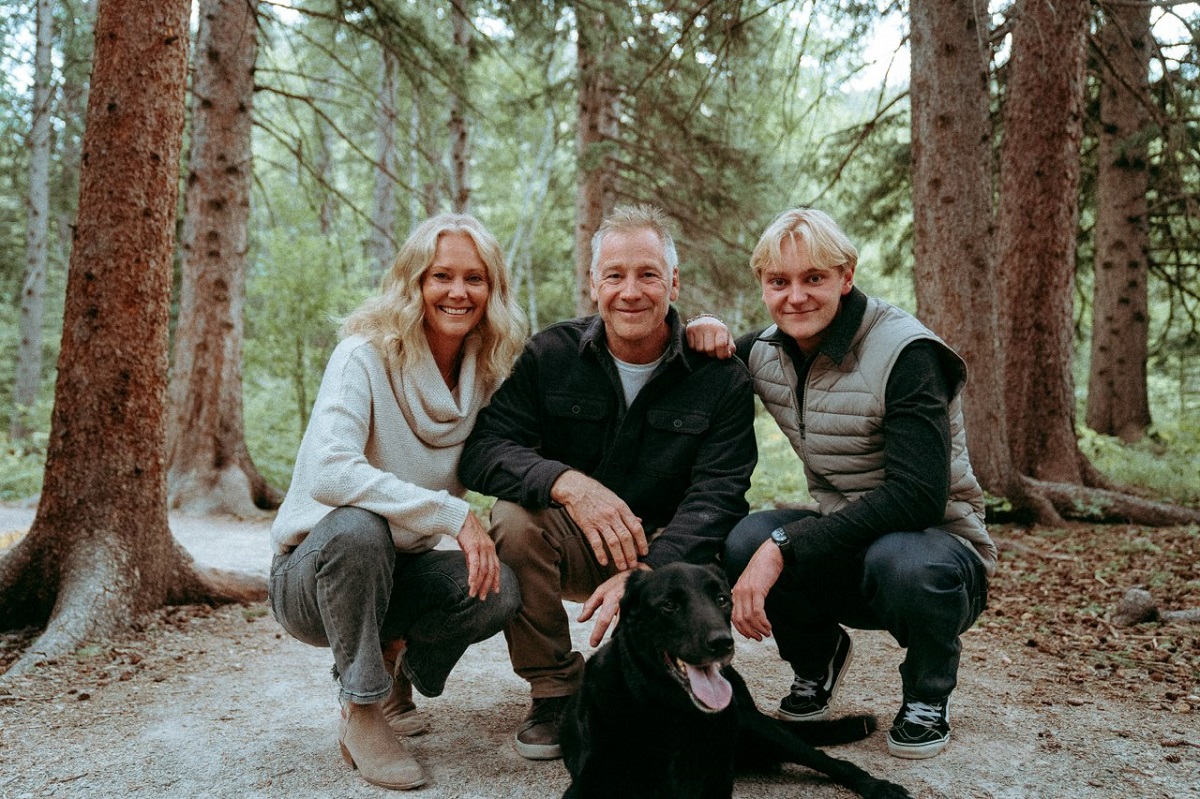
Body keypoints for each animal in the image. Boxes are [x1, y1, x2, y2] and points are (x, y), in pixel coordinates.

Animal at [559, 559, 907, 796]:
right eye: (669, 605)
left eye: (722, 599)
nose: (722, 642)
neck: (672, 714)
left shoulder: (713, 783)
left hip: (758, 727)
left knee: (831, 761)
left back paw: (878, 786)